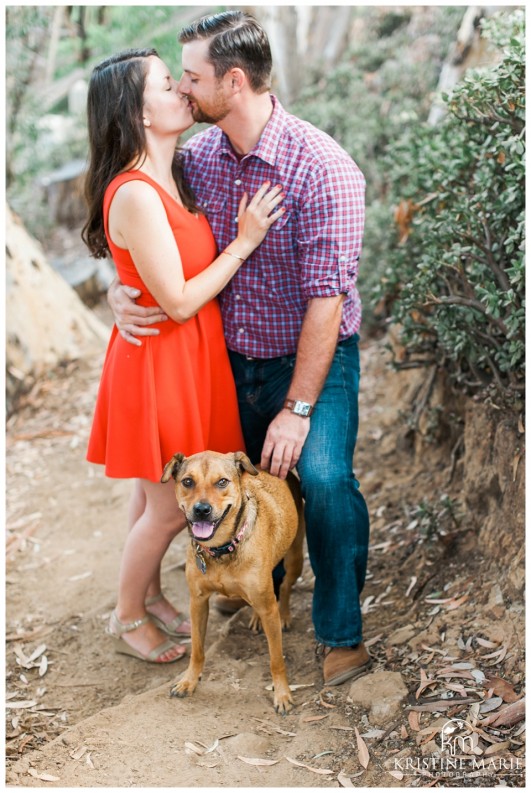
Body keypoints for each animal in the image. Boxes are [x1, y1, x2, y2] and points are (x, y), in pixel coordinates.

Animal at [160, 448, 306, 716]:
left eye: (222, 482)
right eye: (188, 481)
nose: (202, 509)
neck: (221, 549)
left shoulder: (268, 607)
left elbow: (276, 659)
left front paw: (282, 694)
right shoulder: (197, 602)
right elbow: (197, 650)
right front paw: (188, 681)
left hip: (295, 559)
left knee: (285, 586)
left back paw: (285, 614)